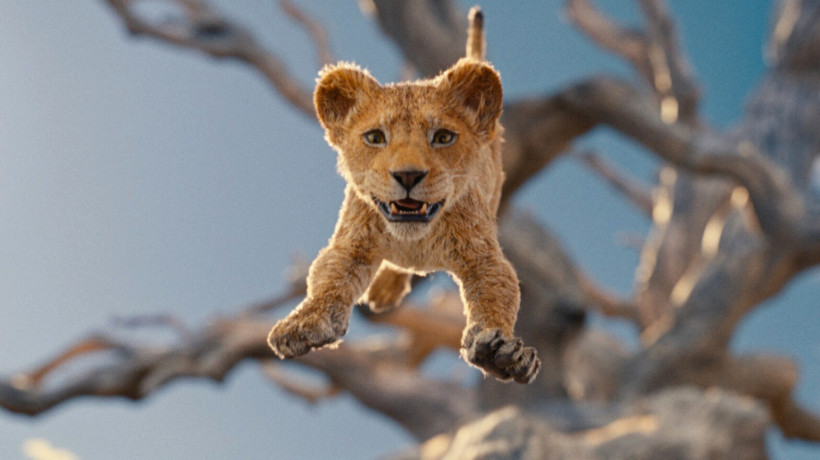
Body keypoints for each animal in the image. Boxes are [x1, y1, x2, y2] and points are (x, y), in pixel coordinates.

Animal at [267, 8, 540, 384]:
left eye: (443, 137)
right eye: (375, 137)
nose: (408, 175)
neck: (414, 239)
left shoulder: (482, 256)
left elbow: (497, 293)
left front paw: (500, 353)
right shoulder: (351, 243)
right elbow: (327, 279)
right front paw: (303, 323)